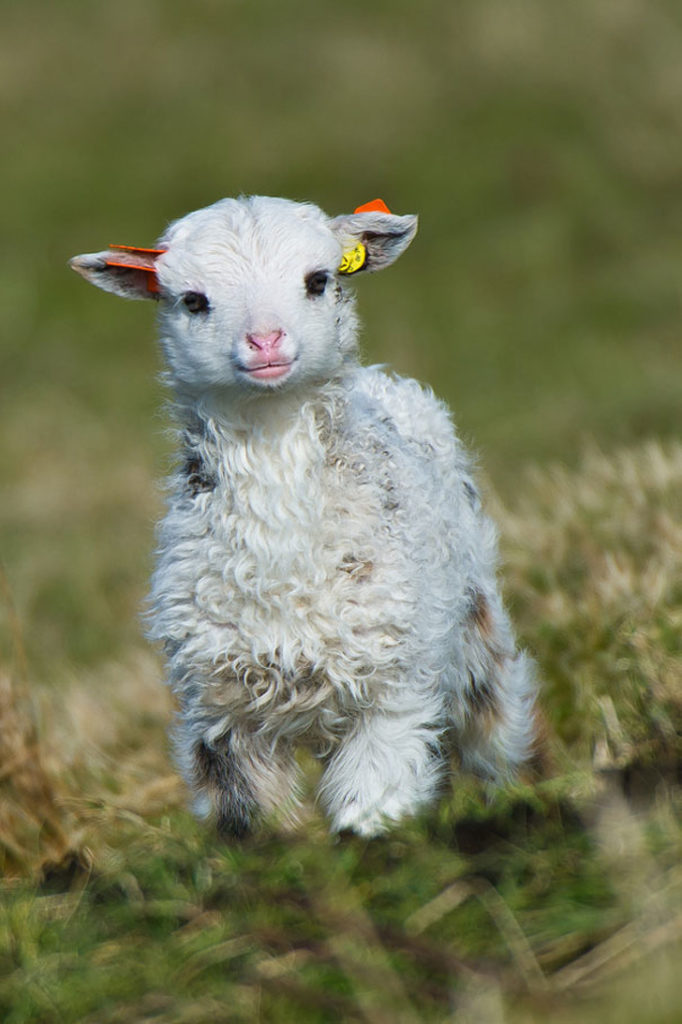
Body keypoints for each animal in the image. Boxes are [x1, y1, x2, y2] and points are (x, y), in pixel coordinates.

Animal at [70, 195, 537, 838]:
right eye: (193, 300)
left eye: (318, 281)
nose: (265, 341)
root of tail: (381, 379)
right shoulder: (219, 708)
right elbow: (251, 818)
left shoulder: (392, 685)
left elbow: (371, 801)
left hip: (475, 632)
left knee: (493, 731)